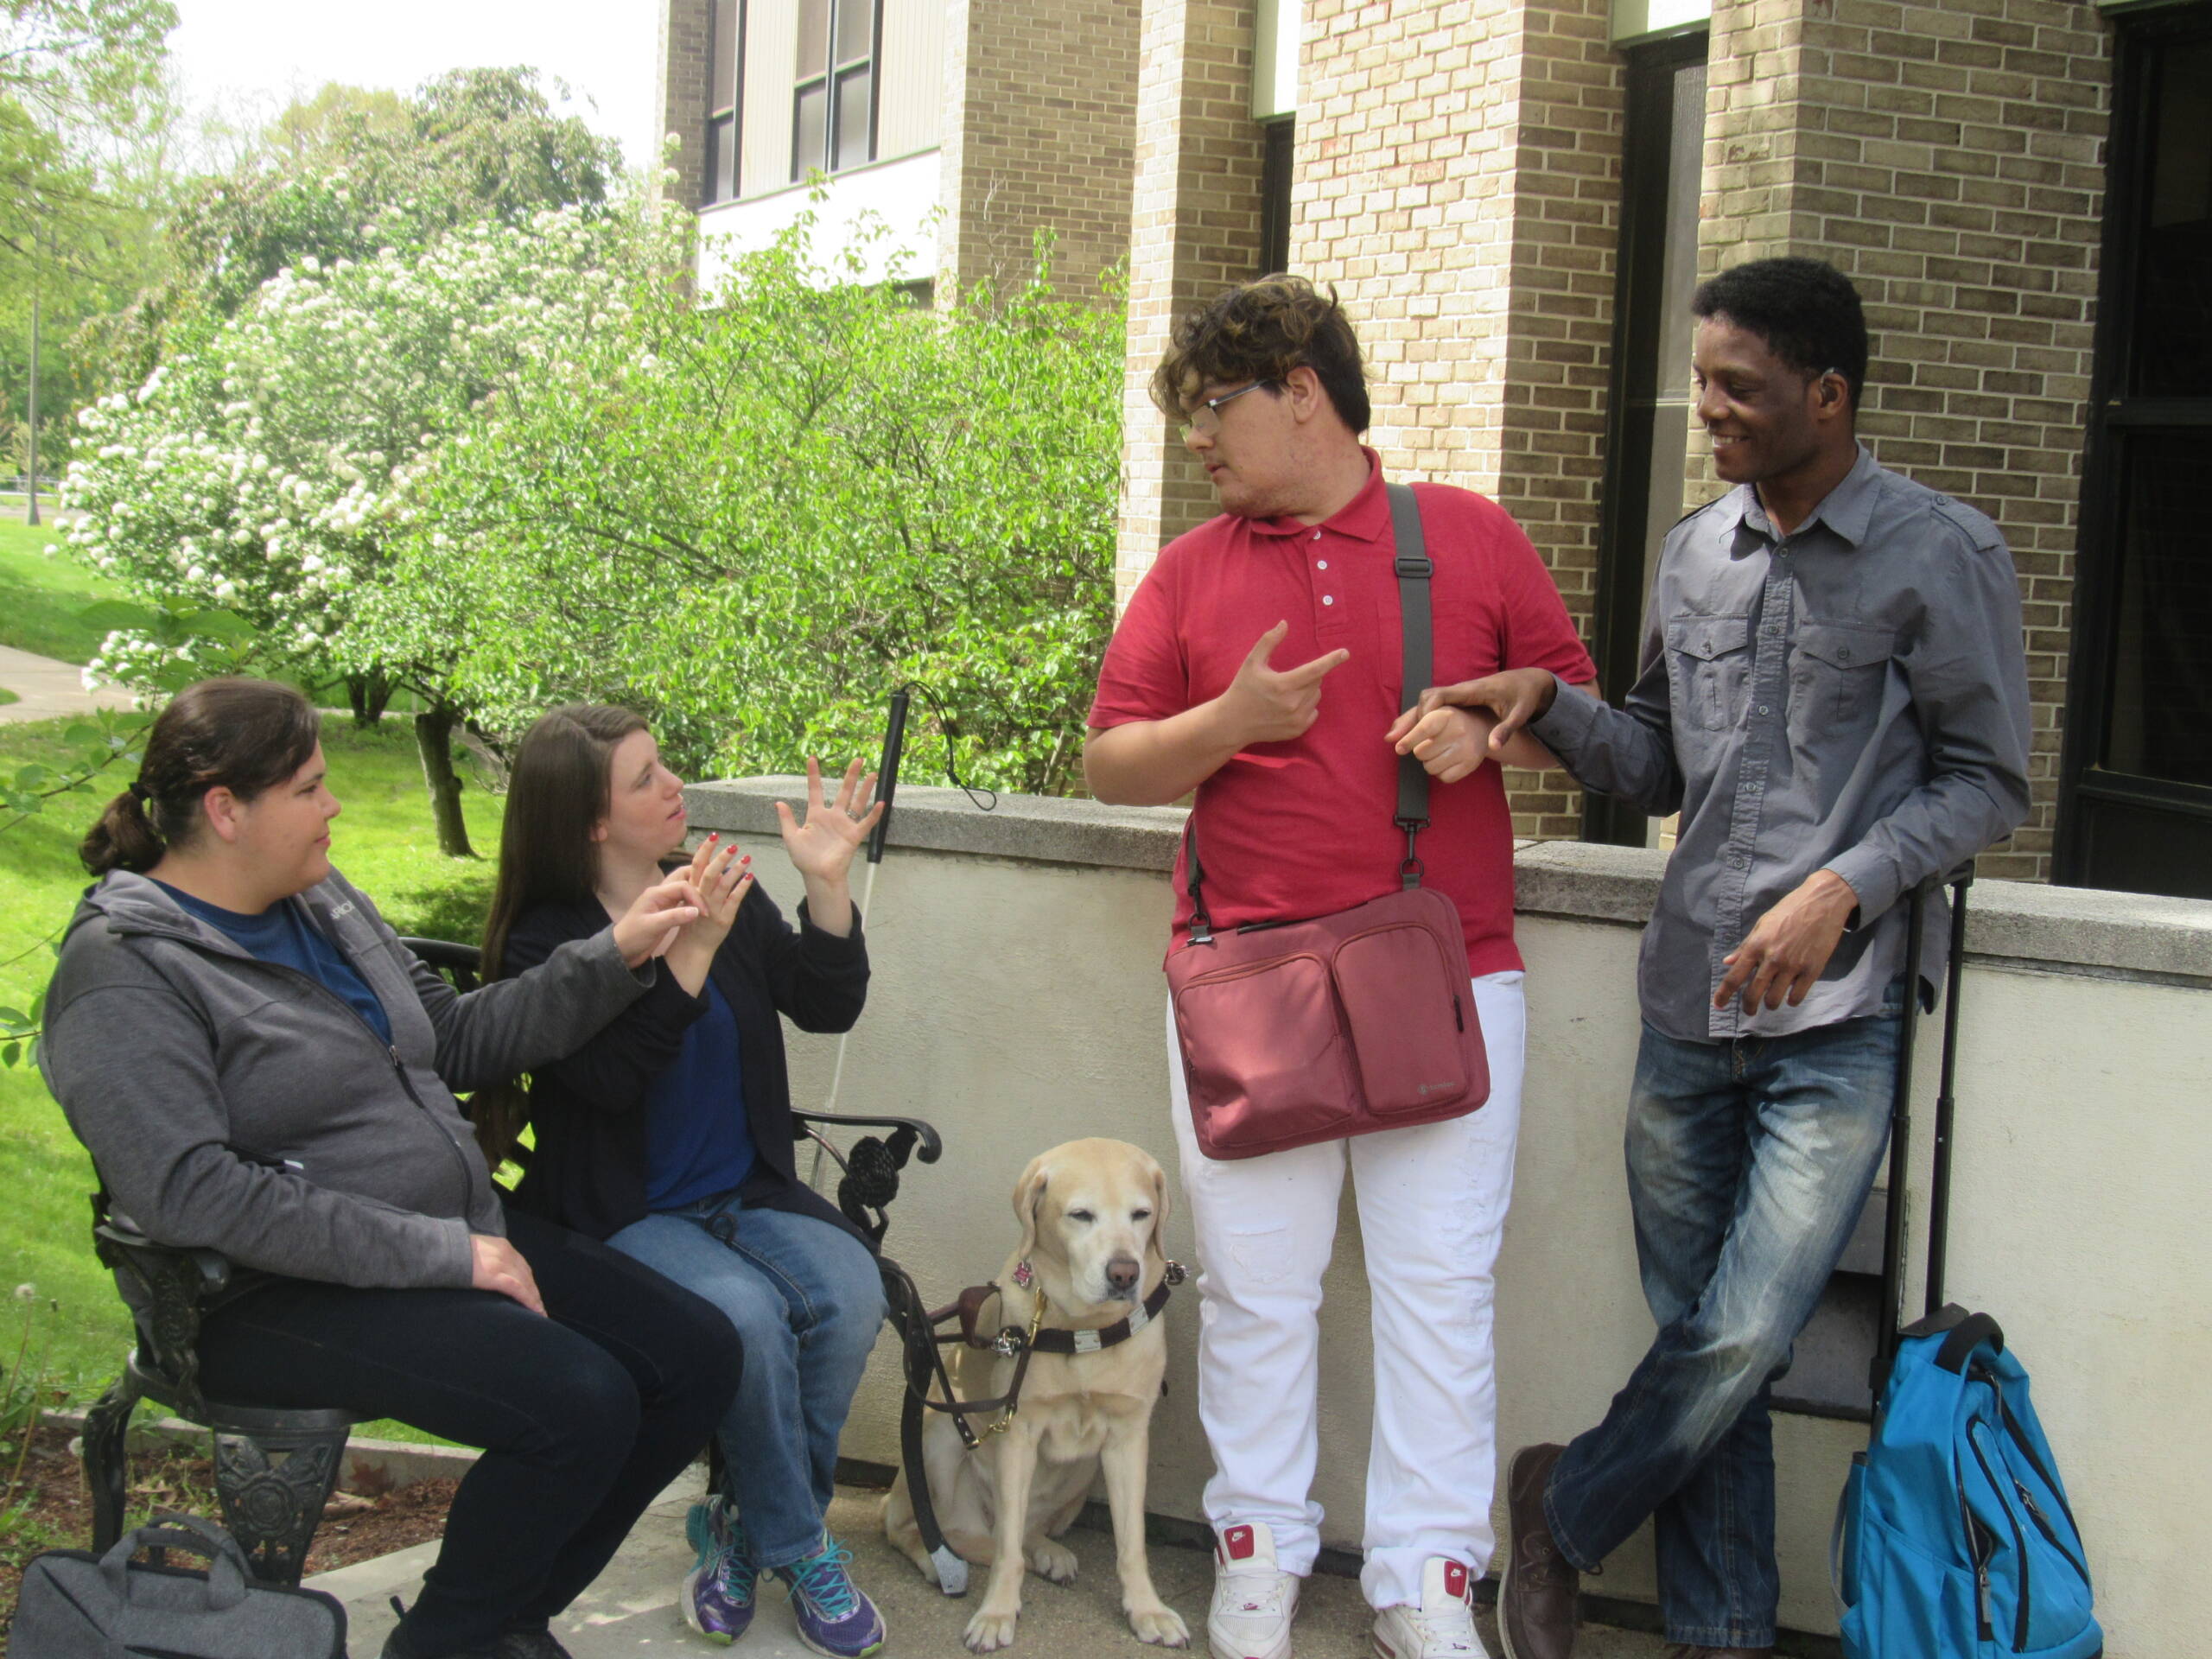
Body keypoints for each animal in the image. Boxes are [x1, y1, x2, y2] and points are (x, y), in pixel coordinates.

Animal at [880, 1141, 1194, 1654]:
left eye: (1141, 1214)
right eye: (1080, 1215)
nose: (1124, 1273)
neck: (1083, 1328)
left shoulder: (1128, 1437)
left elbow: (1132, 1542)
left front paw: (1147, 1609)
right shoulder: (1018, 1431)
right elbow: (1007, 1553)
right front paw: (996, 1613)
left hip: (1083, 1475)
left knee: (1021, 1530)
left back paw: (1047, 1554)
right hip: (937, 1436)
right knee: (922, 1529)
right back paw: (939, 1563)